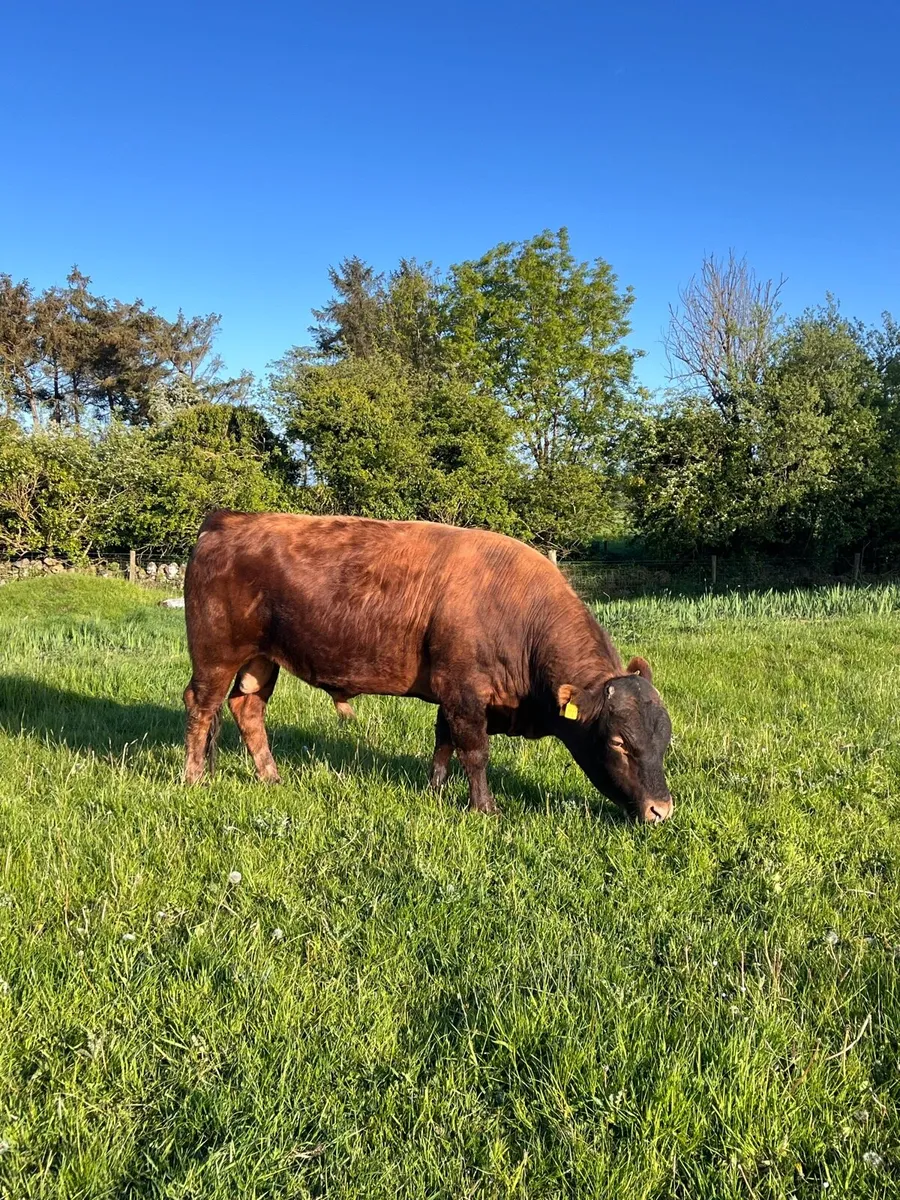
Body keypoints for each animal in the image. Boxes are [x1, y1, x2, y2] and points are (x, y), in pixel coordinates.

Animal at [182, 512, 674, 822]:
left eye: (665, 740)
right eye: (618, 742)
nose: (661, 810)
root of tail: (227, 519)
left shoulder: (452, 697)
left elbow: (444, 743)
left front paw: (436, 790)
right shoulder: (464, 692)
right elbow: (474, 751)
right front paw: (484, 808)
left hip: (260, 661)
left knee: (247, 709)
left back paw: (271, 777)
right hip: (216, 656)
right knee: (201, 707)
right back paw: (194, 778)